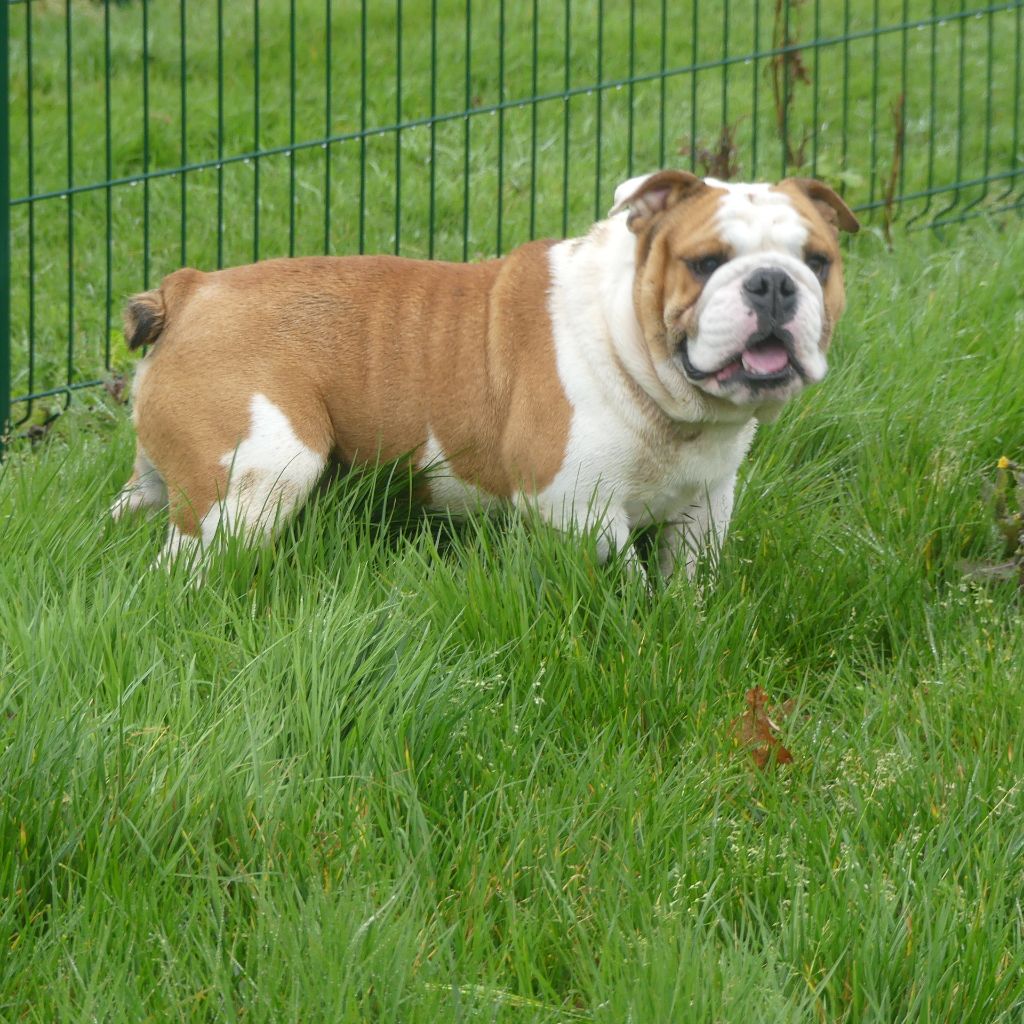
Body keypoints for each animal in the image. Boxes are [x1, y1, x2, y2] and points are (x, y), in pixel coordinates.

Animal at [111, 170, 858, 579]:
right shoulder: (577, 510)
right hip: (263, 469)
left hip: (183, 470)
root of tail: (191, 290)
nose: (773, 282)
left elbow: (689, 581)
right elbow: (626, 584)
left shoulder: (705, 506)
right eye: (705, 263)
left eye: (817, 261)